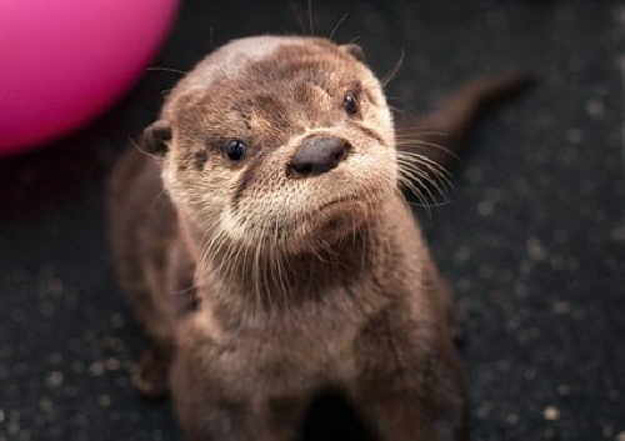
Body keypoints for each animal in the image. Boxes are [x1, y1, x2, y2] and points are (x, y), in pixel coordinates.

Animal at [107, 35, 528, 440]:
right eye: (235, 148)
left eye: (349, 101)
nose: (320, 149)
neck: (321, 323)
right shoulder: (215, 375)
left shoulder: (412, 333)